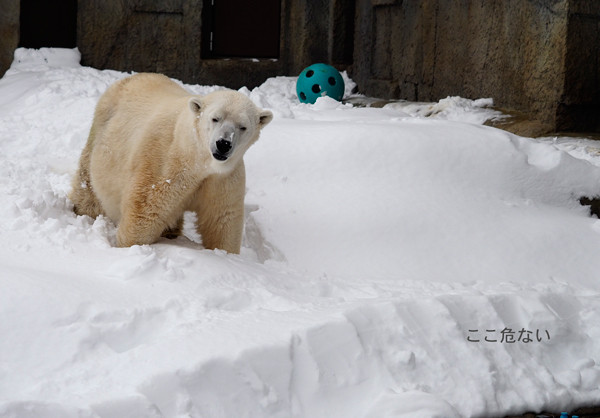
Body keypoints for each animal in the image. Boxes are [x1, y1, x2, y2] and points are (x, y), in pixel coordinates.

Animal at [71, 73, 274, 253]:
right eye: (215, 118)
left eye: (243, 126)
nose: (223, 144)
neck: (197, 158)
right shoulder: (165, 163)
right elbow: (146, 211)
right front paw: (130, 246)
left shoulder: (223, 178)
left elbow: (221, 220)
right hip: (101, 131)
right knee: (88, 184)